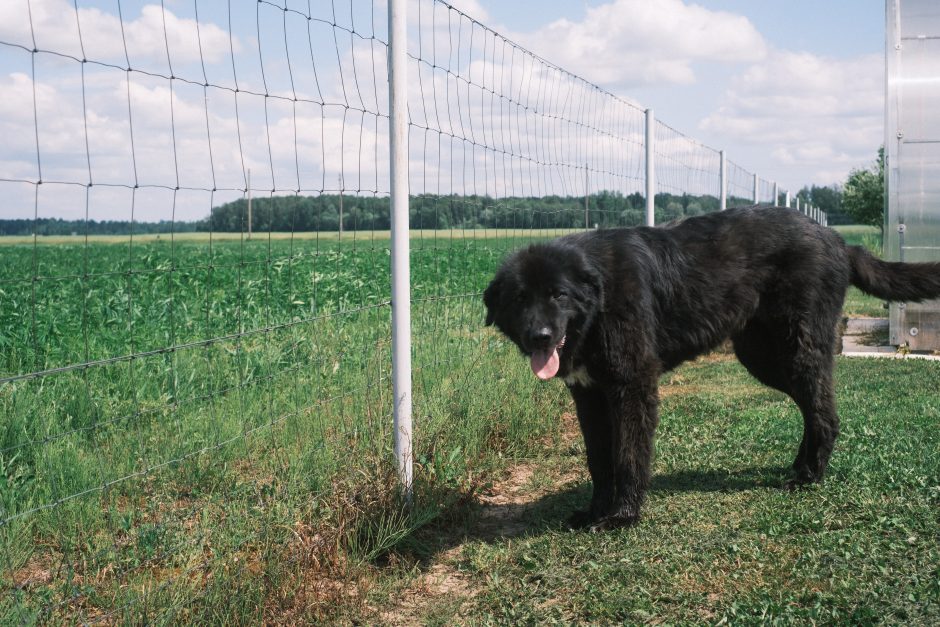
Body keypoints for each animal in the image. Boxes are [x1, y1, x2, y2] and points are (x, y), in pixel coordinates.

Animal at [484, 209, 940, 532]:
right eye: (520, 298)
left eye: (558, 295)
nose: (540, 337)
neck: (599, 297)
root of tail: (839, 240)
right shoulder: (589, 397)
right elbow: (599, 460)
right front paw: (595, 511)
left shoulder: (633, 388)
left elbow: (628, 455)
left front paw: (622, 516)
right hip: (765, 359)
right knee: (815, 410)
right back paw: (800, 468)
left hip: (796, 352)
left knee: (824, 411)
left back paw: (809, 477)